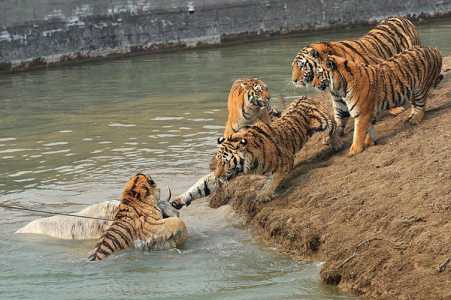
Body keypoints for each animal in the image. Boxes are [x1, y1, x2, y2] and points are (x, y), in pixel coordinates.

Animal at [171, 96, 340, 209]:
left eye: (226, 163)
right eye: (218, 162)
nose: (219, 175)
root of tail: (306, 97)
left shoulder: (285, 161)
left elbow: (273, 181)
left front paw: (263, 195)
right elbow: (201, 186)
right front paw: (178, 200)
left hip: (323, 121)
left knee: (334, 124)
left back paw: (334, 142)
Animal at [292, 17, 422, 137]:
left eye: (302, 66)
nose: (294, 81)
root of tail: (402, 18)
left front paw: (395, 109)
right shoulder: (337, 97)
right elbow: (339, 116)